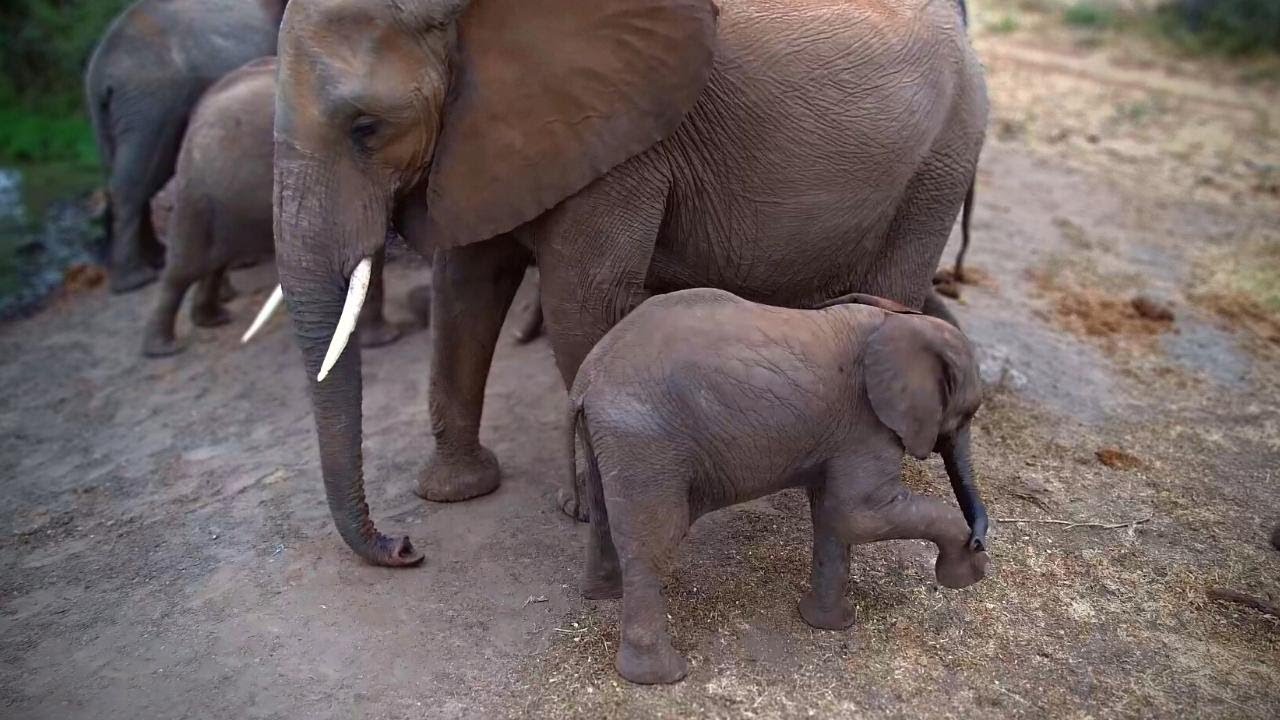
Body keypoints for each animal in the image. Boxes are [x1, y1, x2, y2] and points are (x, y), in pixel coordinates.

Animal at [85, 0, 289, 293]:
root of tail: (101, 75)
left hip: (111, 115)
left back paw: (156, 259)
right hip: (152, 106)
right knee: (134, 180)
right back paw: (135, 280)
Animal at [140, 57, 400, 357]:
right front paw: (385, 342)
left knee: (216, 260)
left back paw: (212, 320)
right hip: (197, 194)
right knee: (185, 268)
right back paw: (164, 348)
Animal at [270, 0, 987, 566]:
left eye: (366, 129)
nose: (405, 547)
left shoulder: (621, 143)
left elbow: (582, 299)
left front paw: (588, 513)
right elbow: (466, 289)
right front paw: (456, 491)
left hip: (944, 157)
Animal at [568, 288, 991, 684]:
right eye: (967, 413)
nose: (978, 542)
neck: (898, 318)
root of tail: (586, 381)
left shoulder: (843, 435)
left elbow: (832, 515)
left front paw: (831, 625)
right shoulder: (867, 424)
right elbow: (858, 516)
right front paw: (966, 573)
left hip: (613, 440)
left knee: (605, 516)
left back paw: (604, 595)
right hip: (647, 443)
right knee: (653, 545)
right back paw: (662, 677)